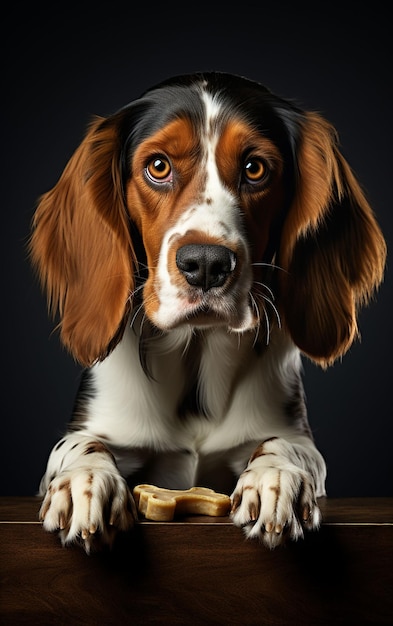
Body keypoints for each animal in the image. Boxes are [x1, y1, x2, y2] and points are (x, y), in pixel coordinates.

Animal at [30, 72, 386, 552]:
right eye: (158, 166)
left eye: (255, 168)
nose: (205, 264)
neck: (195, 360)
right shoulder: (95, 428)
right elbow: (80, 447)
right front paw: (84, 483)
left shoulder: (297, 437)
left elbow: (284, 446)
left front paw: (277, 479)